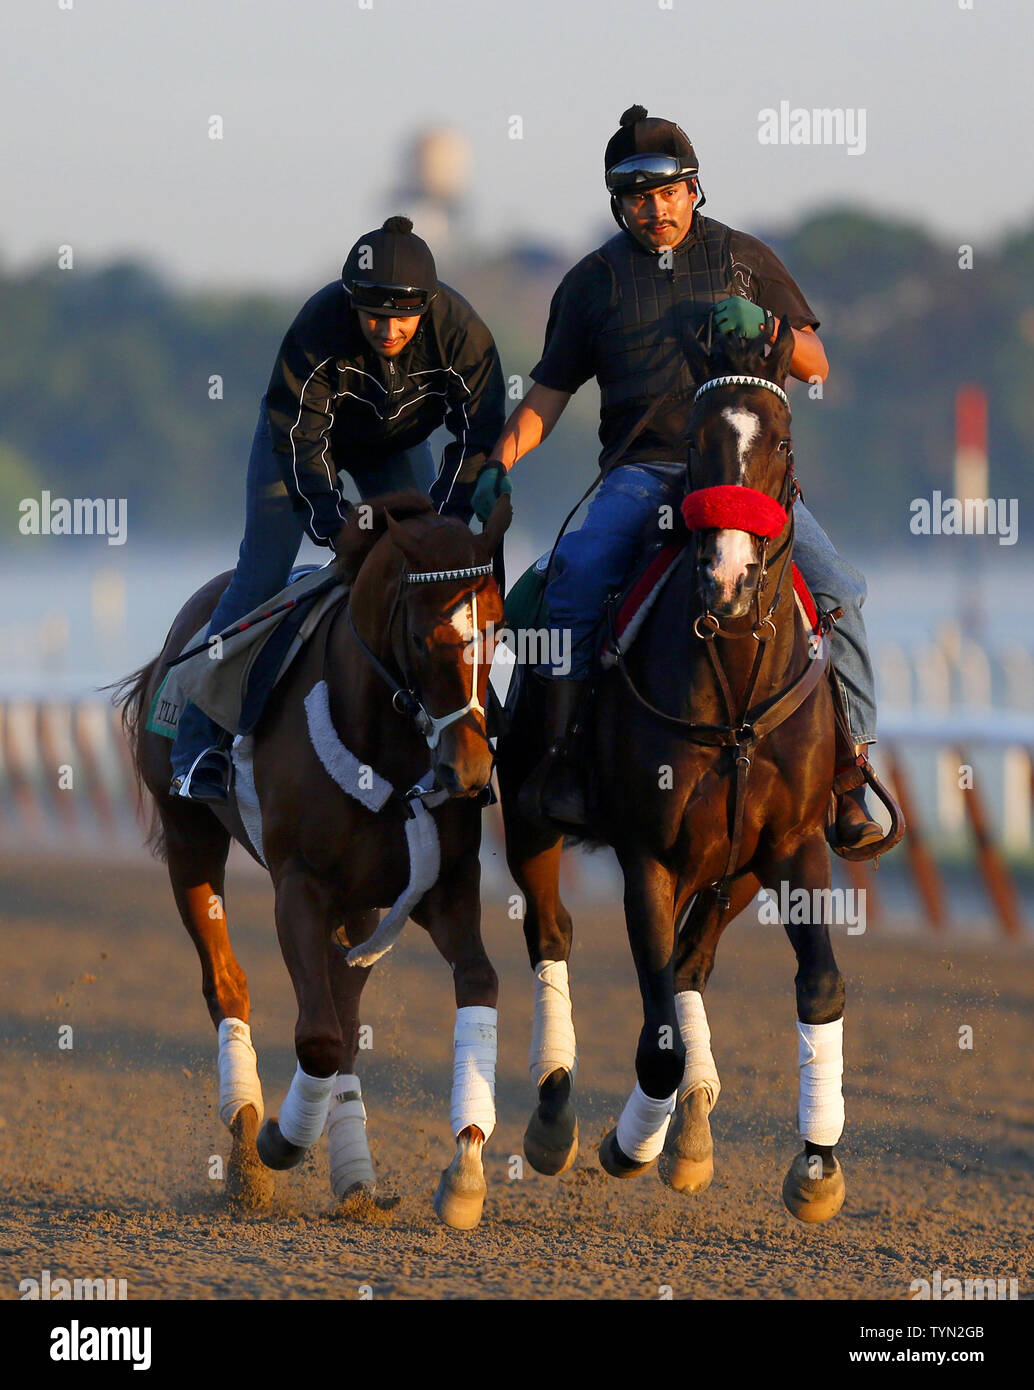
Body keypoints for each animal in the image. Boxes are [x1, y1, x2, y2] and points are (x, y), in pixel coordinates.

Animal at [115, 494, 511, 1234]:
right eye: (424, 638)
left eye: (498, 633)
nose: (469, 770)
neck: (382, 744)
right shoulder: (299, 885)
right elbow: (319, 1038)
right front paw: (280, 1139)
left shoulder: (439, 888)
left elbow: (476, 983)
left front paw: (467, 1170)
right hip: (189, 841)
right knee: (228, 984)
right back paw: (246, 1141)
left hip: (361, 903)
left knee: (344, 1008)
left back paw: (354, 1175)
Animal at [497, 322, 895, 1217]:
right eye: (692, 441)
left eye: (781, 440)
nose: (729, 580)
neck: (736, 677)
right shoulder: (649, 852)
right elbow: (657, 1041)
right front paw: (629, 1141)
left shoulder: (793, 845)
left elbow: (819, 984)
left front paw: (816, 1164)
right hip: (527, 815)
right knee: (552, 934)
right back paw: (558, 1114)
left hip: (734, 872)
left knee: (691, 962)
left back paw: (693, 1128)